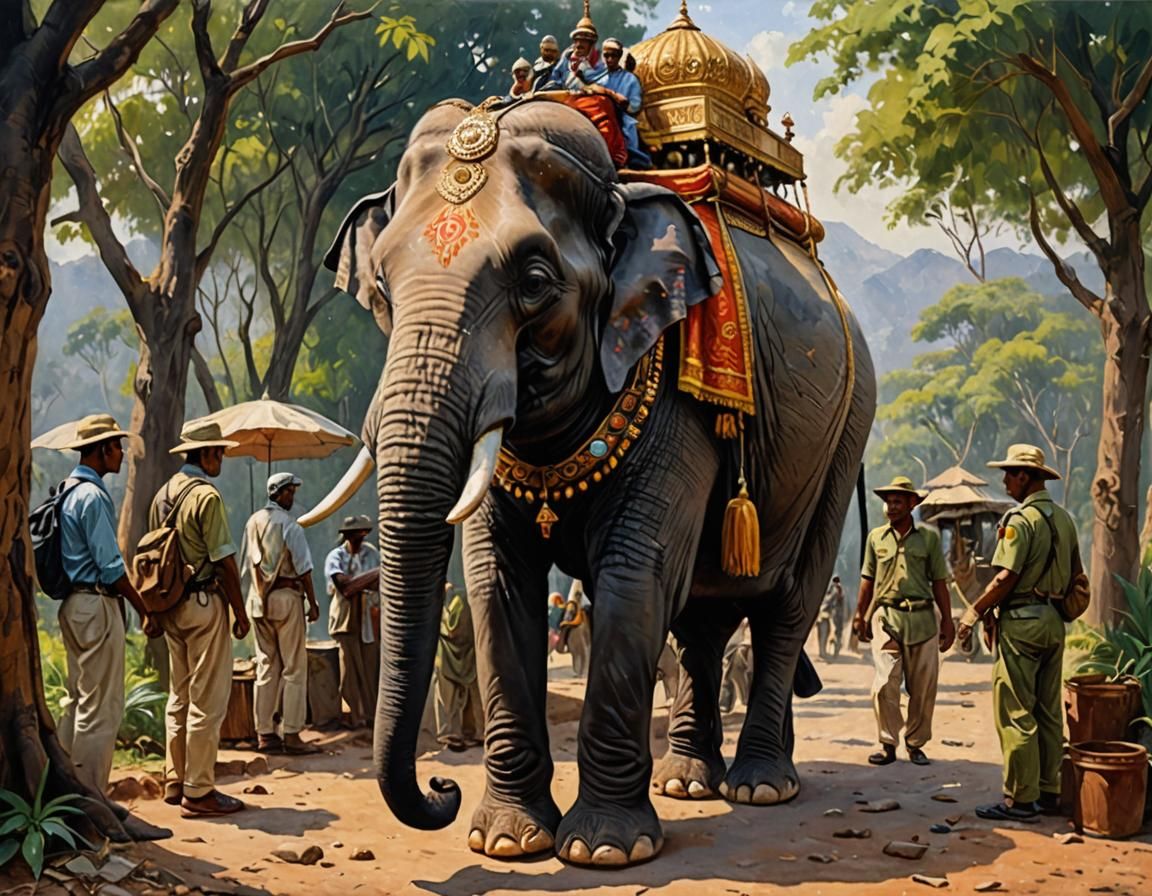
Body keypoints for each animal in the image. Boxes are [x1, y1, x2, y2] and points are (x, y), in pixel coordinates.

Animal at [304, 96, 876, 868]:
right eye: (384, 289)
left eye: (535, 283)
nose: (440, 788)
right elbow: (496, 581)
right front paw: (507, 841)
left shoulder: (676, 397)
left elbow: (636, 574)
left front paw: (605, 850)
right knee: (701, 621)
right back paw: (690, 781)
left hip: (845, 433)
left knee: (787, 605)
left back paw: (760, 786)